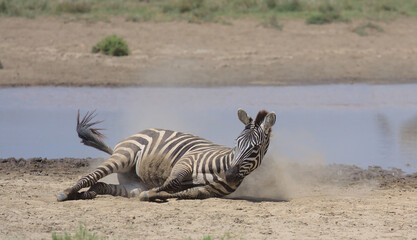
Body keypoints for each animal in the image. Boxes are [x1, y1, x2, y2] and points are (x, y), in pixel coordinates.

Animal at [56, 108, 276, 202]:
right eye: (236, 143)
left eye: (255, 148)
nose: (230, 175)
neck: (222, 165)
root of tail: (144, 129)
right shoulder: (186, 162)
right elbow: (171, 183)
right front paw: (154, 193)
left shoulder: (206, 191)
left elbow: (182, 192)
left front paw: (154, 194)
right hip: (124, 156)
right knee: (90, 177)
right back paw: (67, 193)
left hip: (132, 184)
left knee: (101, 185)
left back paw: (86, 194)